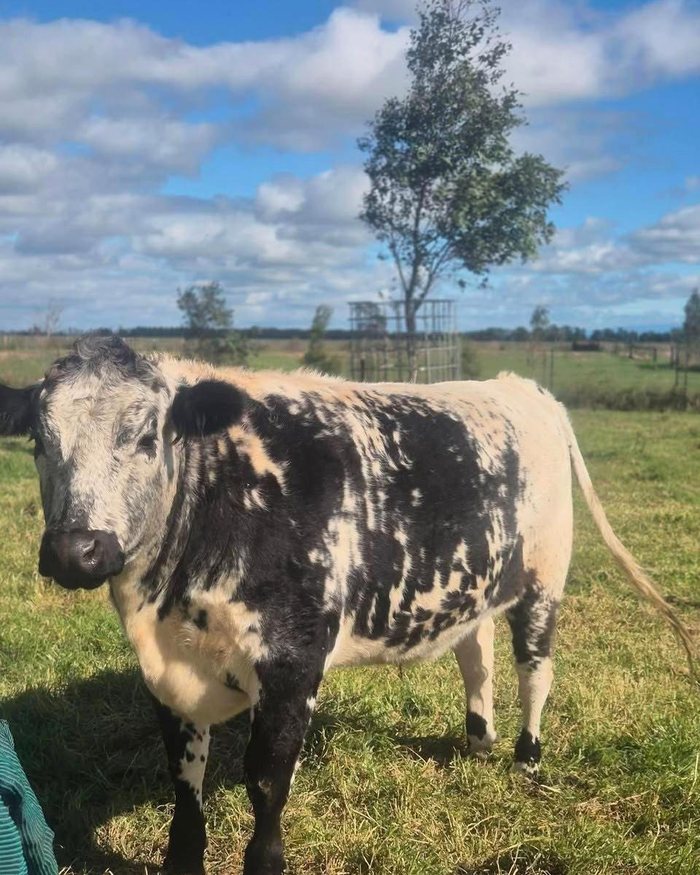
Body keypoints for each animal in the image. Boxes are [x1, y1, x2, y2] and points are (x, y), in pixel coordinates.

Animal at [0, 335, 693, 875]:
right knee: (477, 656)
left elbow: (266, 779)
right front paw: (184, 858)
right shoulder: (168, 675)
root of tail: (516, 386)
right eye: (39, 439)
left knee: (535, 667)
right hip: (476, 581)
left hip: (545, 575)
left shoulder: (292, 661)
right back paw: (478, 742)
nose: (75, 550)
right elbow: (184, 779)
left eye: (147, 436)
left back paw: (526, 757)